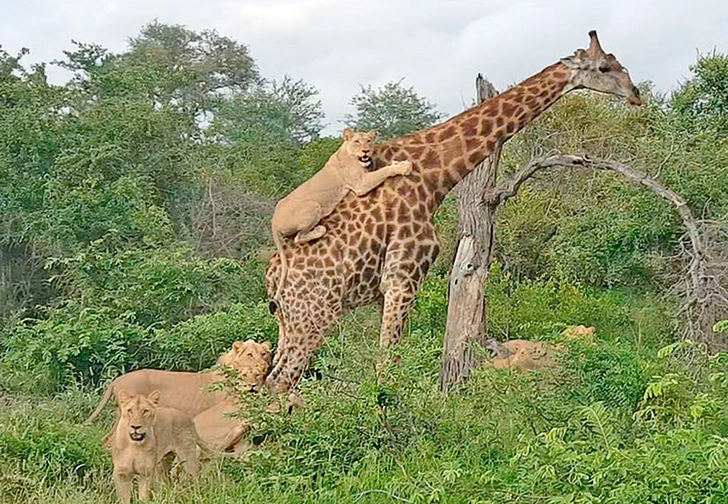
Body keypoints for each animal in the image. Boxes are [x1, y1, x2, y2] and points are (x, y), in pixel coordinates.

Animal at [264, 30, 640, 394]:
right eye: (604, 67)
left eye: (618, 62)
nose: (636, 94)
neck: (435, 177)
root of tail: (270, 278)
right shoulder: (402, 277)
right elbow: (388, 366)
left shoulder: (397, 283)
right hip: (316, 314)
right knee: (280, 381)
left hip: (289, 321)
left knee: (272, 378)